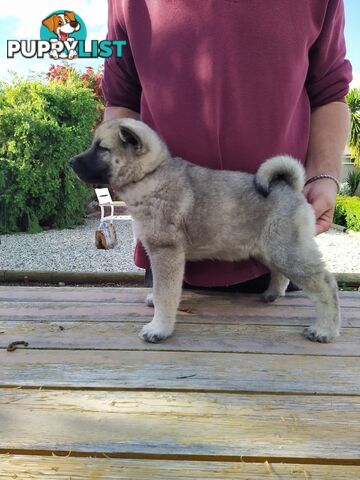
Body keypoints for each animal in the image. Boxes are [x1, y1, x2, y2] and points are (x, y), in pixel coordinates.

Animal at [69, 120, 340, 344]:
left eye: (101, 148)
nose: (71, 162)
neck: (151, 174)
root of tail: (292, 189)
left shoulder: (165, 252)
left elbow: (166, 293)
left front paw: (159, 328)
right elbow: (160, 289)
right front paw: (154, 304)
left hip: (287, 250)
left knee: (326, 285)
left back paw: (325, 329)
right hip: (270, 248)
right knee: (279, 273)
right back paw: (273, 294)